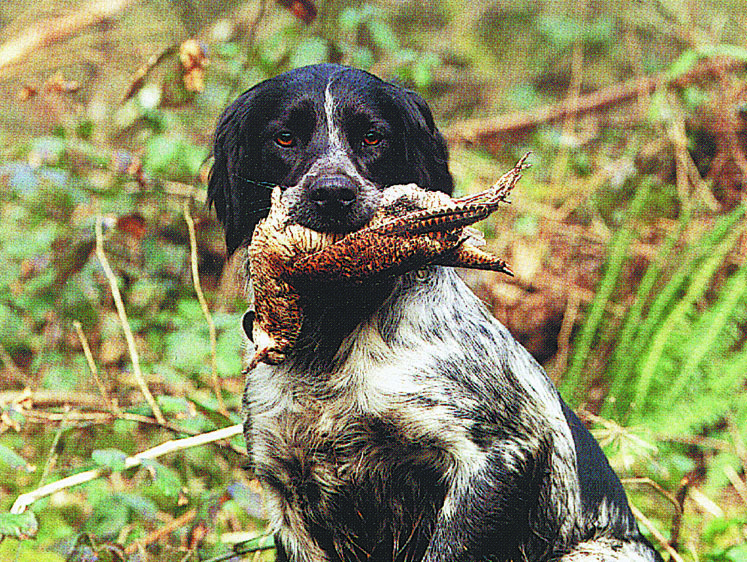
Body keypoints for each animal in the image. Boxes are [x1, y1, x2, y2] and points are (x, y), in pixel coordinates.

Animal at [207, 64, 664, 560]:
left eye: (372, 137)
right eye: (285, 137)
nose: (332, 193)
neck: (334, 335)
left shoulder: (498, 458)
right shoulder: (286, 488)